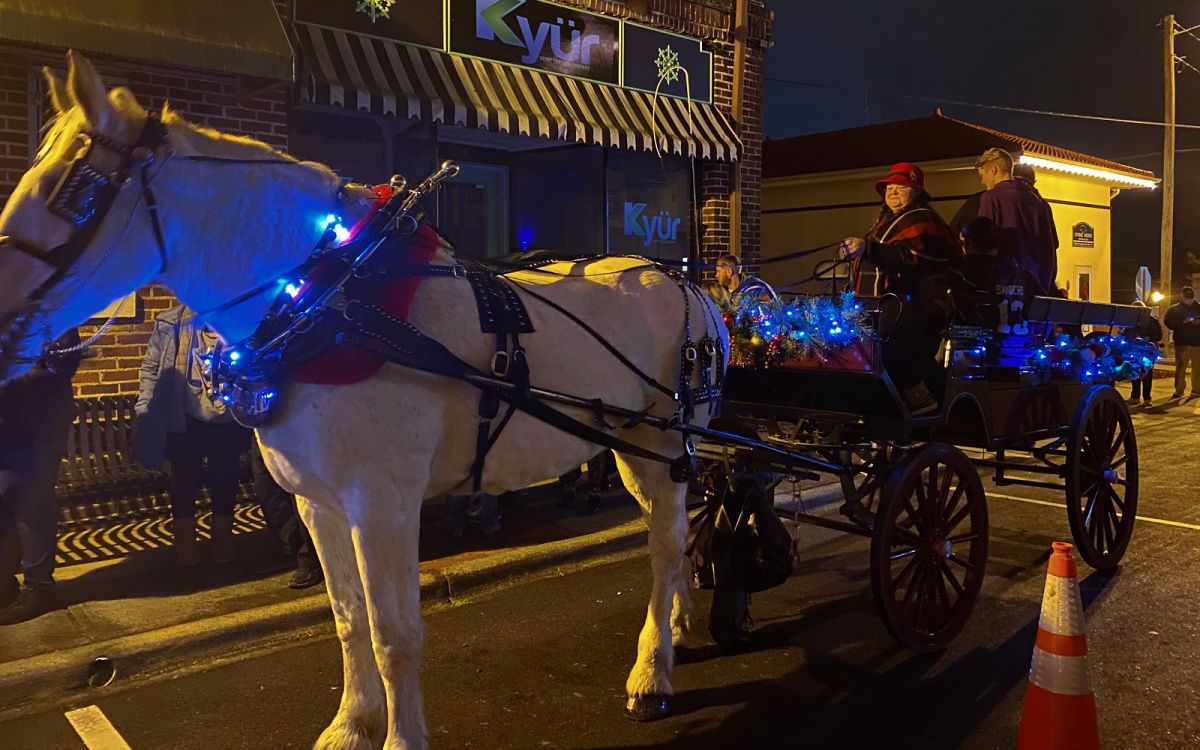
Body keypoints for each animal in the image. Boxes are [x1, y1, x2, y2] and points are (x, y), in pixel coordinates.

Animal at [0, 51, 724, 744]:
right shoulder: (317, 502)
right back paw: (685, 622)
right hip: (639, 450)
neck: (330, 297)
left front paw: (398, 736)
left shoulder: (381, 503)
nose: (3, 329)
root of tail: (688, 284)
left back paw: (652, 671)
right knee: (672, 533)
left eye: (73, 189)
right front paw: (351, 724)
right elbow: (348, 621)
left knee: (662, 545)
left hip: (660, 443)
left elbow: (394, 635)